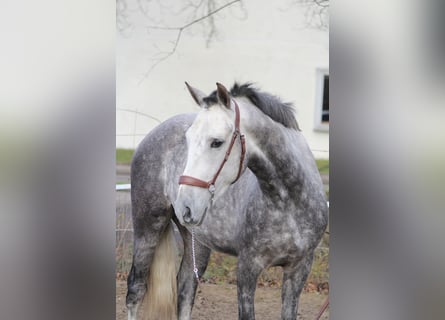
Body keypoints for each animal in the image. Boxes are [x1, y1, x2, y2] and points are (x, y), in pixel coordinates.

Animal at [125, 83, 326, 320]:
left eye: (217, 142)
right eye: (188, 140)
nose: (185, 205)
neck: (288, 205)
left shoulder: (299, 269)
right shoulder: (247, 268)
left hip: (197, 244)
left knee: (185, 290)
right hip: (147, 228)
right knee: (135, 290)